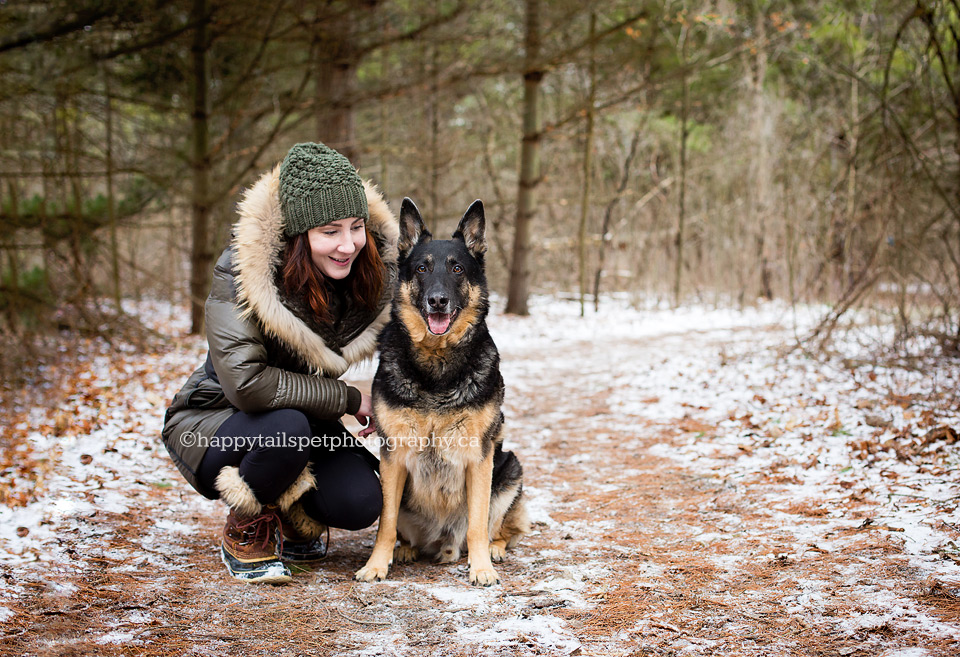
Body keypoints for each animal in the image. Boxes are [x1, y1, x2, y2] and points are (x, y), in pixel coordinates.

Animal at [354, 199, 528, 584]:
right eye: (422, 268)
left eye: (458, 269)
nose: (437, 301)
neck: (437, 363)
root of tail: (443, 543)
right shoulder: (393, 457)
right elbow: (385, 523)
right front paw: (376, 564)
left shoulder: (480, 458)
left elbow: (477, 523)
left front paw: (482, 568)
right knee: (404, 531)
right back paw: (406, 550)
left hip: (509, 468)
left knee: (498, 529)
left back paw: (493, 549)